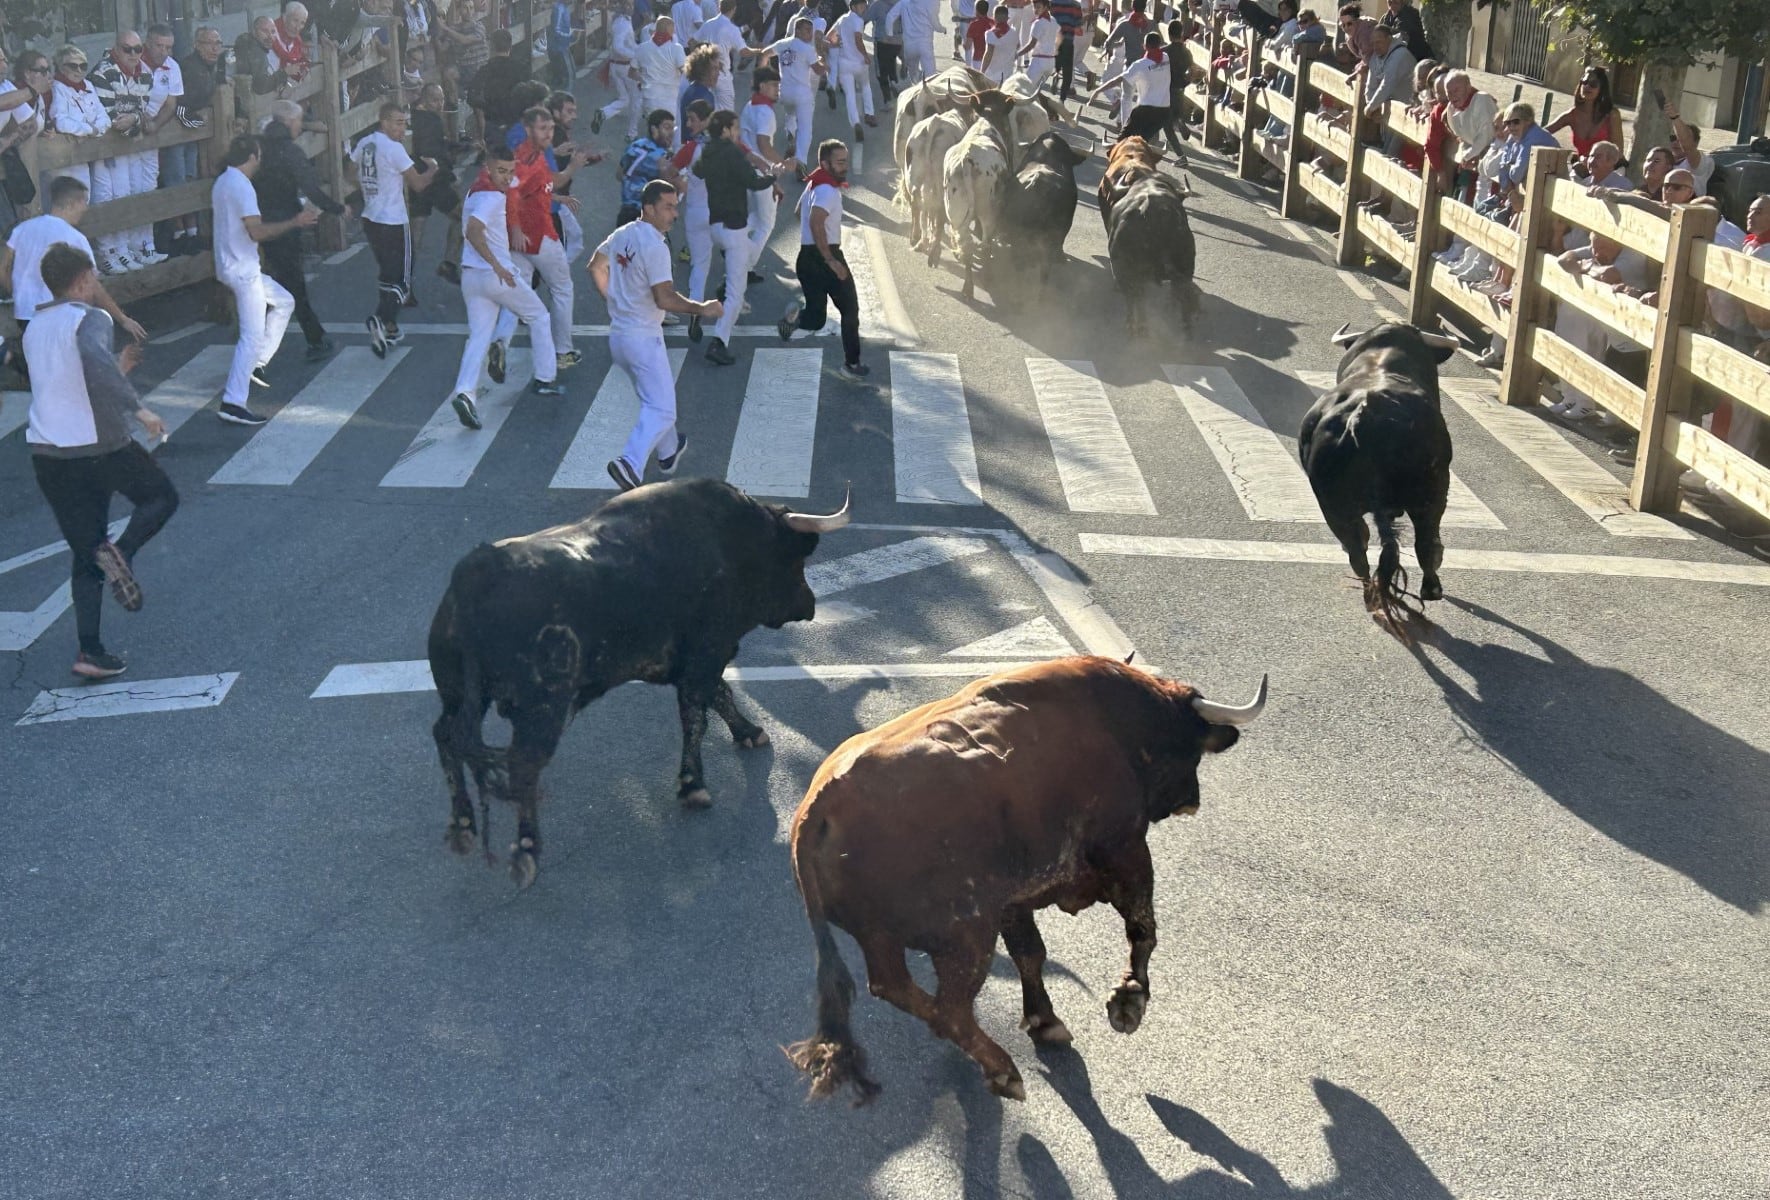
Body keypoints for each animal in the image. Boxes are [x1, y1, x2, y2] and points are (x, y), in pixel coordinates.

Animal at [421, 481, 849, 892]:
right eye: (794, 558)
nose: (809, 604)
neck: (731, 539)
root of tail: (476, 576)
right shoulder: (705, 654)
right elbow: (696, 717)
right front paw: (693, 786)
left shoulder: (694, 662)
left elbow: (721, 696)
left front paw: (749, 732)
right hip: (543, 710)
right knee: (522, 762)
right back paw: (525, 851)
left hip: (459, 695)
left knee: (447, 736)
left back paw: (462, 825)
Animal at [782, 658, 1267, 1111]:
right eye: (1191, 748)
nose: (1192, 801)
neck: (1115, 722)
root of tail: (816, 810)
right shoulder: (1126, 851)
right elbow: (1142, 928)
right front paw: (1127, 1004)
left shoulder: (1014, 903)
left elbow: (1031, 954)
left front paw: (1045, 1022)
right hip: (968, 939)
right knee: (948, 1009)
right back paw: (1005, 1073)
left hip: (897, 940)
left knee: (896, 989)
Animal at [1302, 320, 1465, 619]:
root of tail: (1362, 415)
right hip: (1431, 494)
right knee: (1425, 542)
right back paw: (1431, 588)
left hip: (1333, 507)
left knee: (1357, 548)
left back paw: (1371, 592)